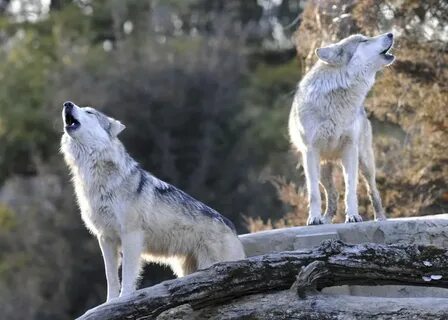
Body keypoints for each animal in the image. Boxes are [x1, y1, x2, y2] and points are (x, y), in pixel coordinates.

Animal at [59, 101, 245, 302]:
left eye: (89, 112)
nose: (67, 104)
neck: (95, 178)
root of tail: (232, 228)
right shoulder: (105, 238)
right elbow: (111, 277)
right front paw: (110, 303)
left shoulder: (131, 235)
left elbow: (128, 275)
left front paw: (124, 299)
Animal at [288, 33, 394, 225]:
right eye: (363, 41)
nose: (391, 33)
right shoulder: (310, 152)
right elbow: (313, 194)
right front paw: (314, 218)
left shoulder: (350, 149)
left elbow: (351, 188)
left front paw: (353, 216)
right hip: (321, 169)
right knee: (332, 194)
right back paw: (324, 220)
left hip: (365, 162)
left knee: (372, 190)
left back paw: (380, 218)